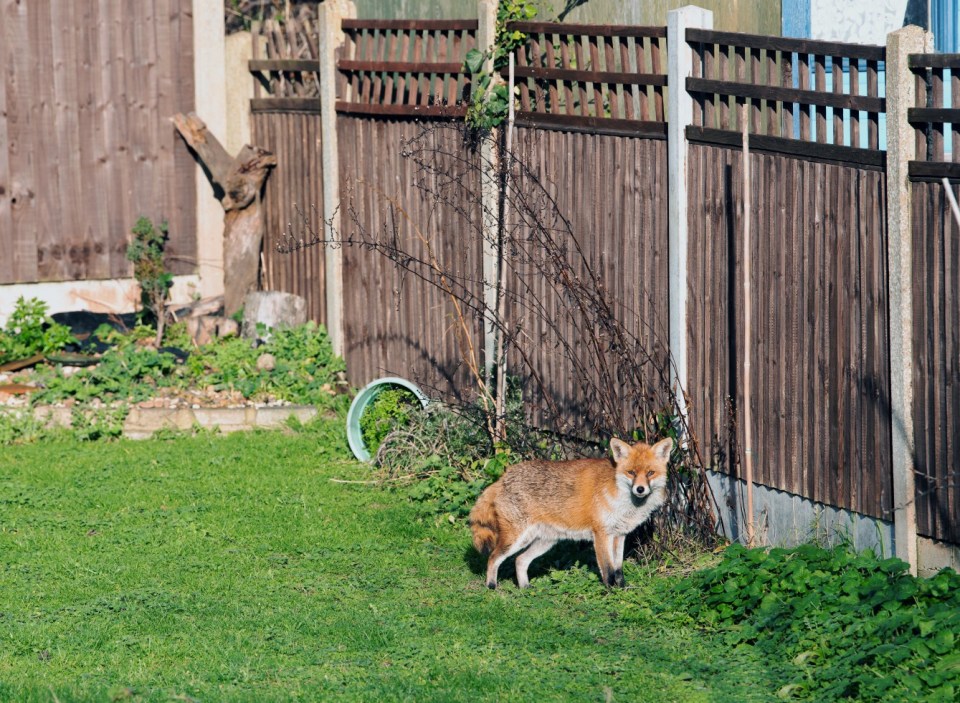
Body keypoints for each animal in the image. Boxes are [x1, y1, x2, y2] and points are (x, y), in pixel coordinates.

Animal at [468, 438, 672, 592]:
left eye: (650, 473)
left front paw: (622, 589)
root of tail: (503, 477)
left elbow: (618, 569)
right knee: (493, 558)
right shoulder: (601, 535)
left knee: (520, 560)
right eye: (631, 472)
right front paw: (610, 592)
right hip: (515, 539)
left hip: (544, 542)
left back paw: (525, 588)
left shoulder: (619, 535)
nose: (640, 489)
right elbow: (608, 570)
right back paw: (491, 586)